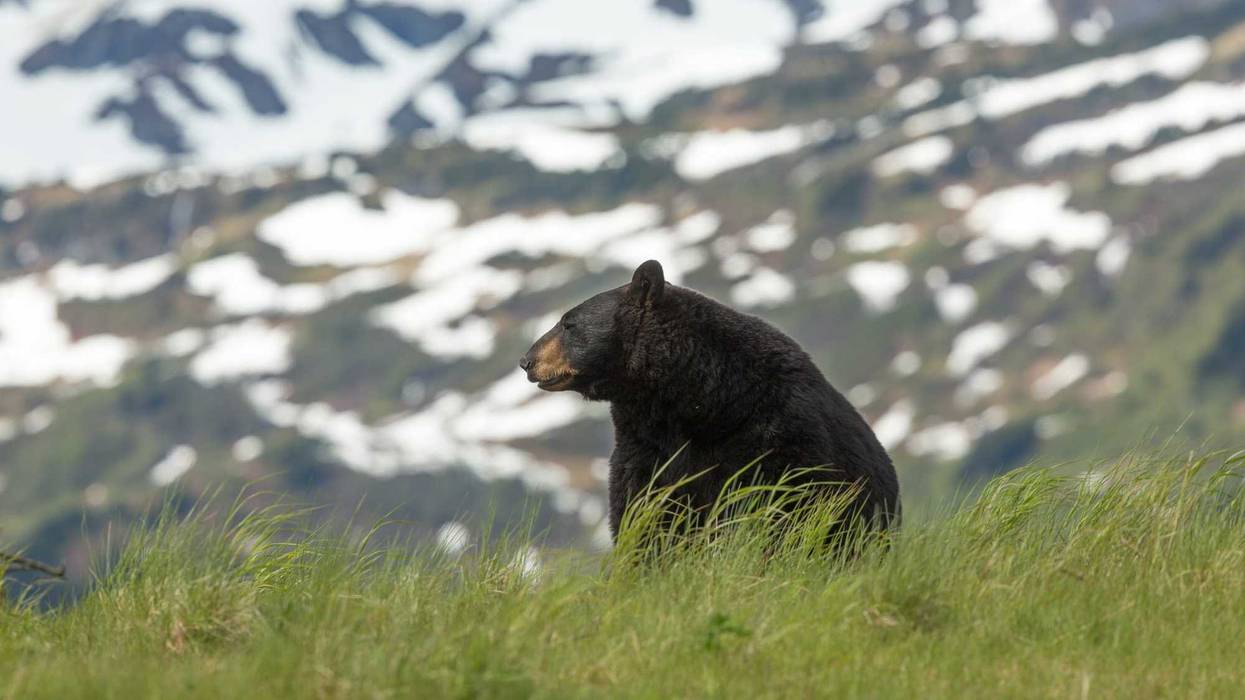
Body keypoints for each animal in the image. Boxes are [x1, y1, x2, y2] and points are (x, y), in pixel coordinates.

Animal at [520, 259, 900, 542]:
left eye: (568, 323)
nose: (527, 360)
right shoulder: (645, 445)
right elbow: (640, 508)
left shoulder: (776, 433)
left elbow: (783, 505)